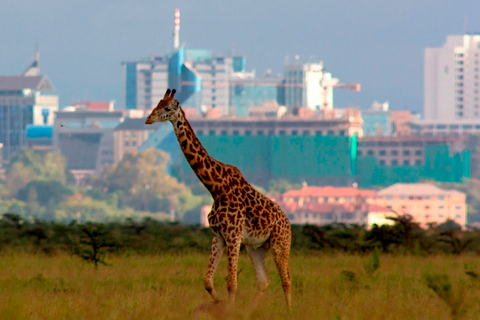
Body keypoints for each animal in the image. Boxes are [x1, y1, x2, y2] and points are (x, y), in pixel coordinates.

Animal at [144, 89, 290, 308]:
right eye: (157, 103)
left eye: (167, 108)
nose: (148, 118)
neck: (216, 188)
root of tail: (288, 223)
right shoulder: (218, 236)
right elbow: (207, 281)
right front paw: (220, 304)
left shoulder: (233, 235)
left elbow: (231, 283)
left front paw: (228, 309)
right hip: (256, 248)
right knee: (263, 281)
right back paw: (250, 311)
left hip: (280, 243)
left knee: (286, 280)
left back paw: (290, 311)